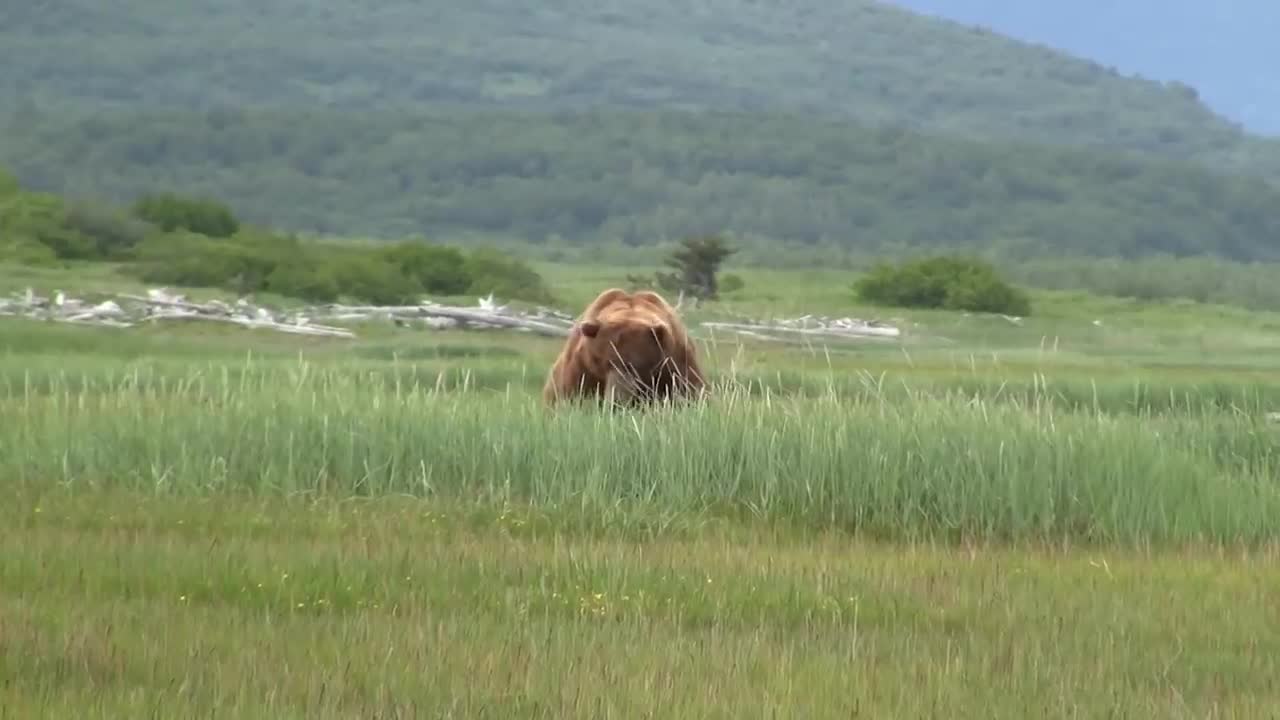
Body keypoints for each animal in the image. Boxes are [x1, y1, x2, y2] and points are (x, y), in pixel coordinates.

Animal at [537, 286, 706, 409]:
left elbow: (690, 395)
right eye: (605, 362)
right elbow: (569, 398)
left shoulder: (674, 367)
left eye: (639, 364)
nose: (617, 401)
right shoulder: (582, 369)